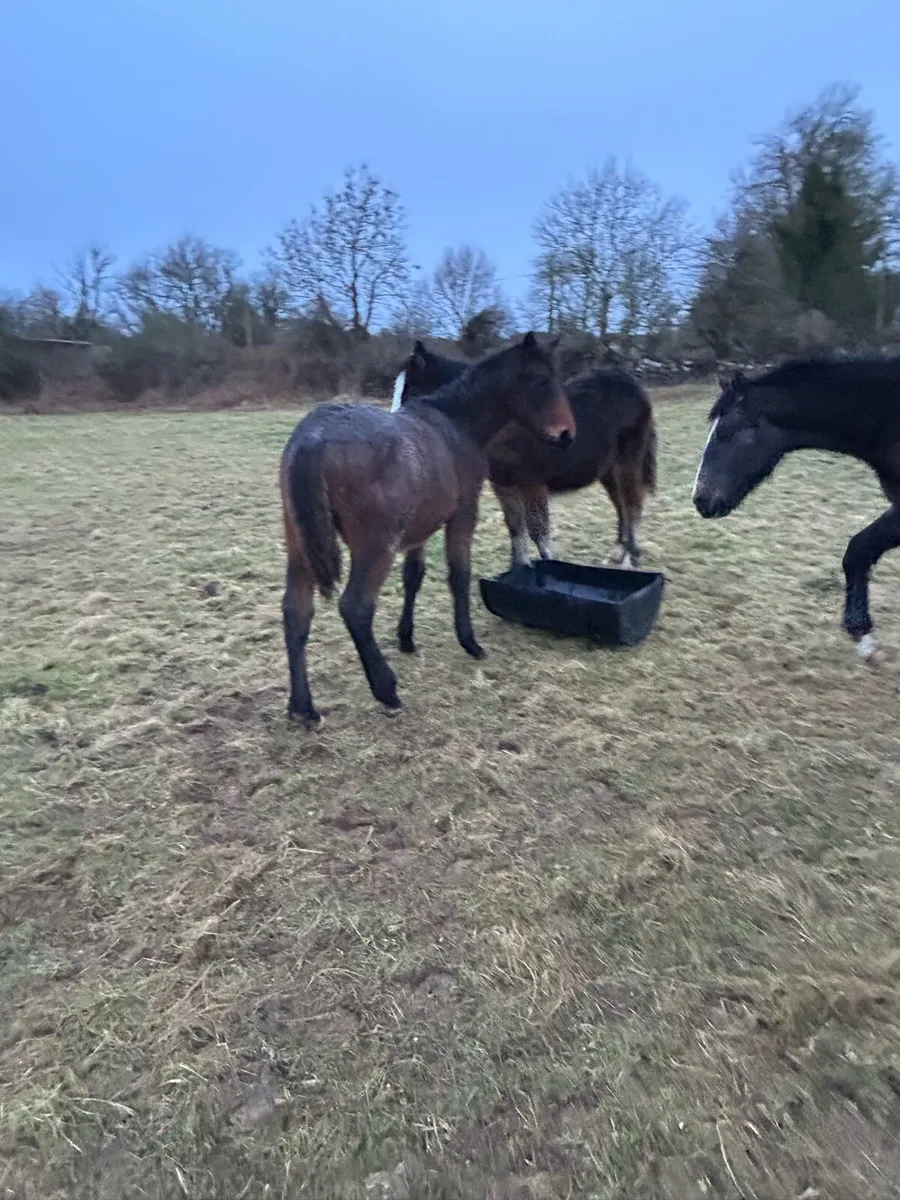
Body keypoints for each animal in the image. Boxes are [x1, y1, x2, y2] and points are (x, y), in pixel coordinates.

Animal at [280, 332, 576, 725]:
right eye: (541, 380)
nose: (567, 434)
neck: (456, 423)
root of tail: (313, 438)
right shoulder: (463, 514)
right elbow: (459, 575)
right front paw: (470, 642)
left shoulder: (419, 529)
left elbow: (414, 576)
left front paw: (406, 638)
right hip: (374, 549)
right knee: (356, 608)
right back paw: (386, 691)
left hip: (299, 548)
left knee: (296, 611)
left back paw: (302, 707)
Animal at [392, 340, 657, 570]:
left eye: (412, 387)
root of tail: (632, 385)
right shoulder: (503, 483)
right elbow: (516, 527)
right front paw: (518, 569)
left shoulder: (532, 482)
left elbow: (539, 531)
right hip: (608, 470)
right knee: (621, 505)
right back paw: (619, 553)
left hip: (628, 462)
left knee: (633, 504)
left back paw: (629, 559)